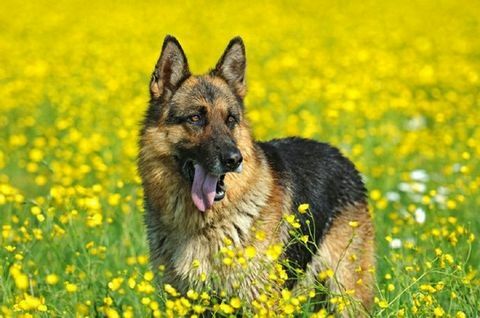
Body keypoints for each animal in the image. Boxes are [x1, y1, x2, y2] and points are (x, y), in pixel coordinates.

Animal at [138, 35, 376, 316]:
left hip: (345, 294)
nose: (234, 159)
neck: (202, 225)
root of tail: (340, 156)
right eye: (195, 118)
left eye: (231, 119)